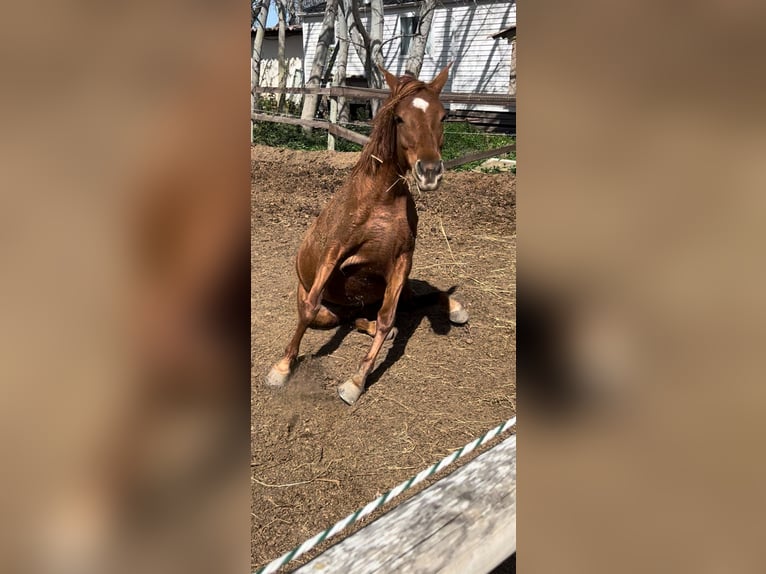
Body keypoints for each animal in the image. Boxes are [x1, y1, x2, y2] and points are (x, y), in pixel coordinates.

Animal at [264, 64, 468, 404]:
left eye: (442, 117)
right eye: (399, 118)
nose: (429, 172)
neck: (381, 200)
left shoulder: (402, 261)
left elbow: (387, 318)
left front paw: (356, 381)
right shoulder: (334, 252)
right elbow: (308, 309)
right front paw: (281, 369)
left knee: (389, 312)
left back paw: (454, 309)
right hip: (329, 315)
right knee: (337, 317)